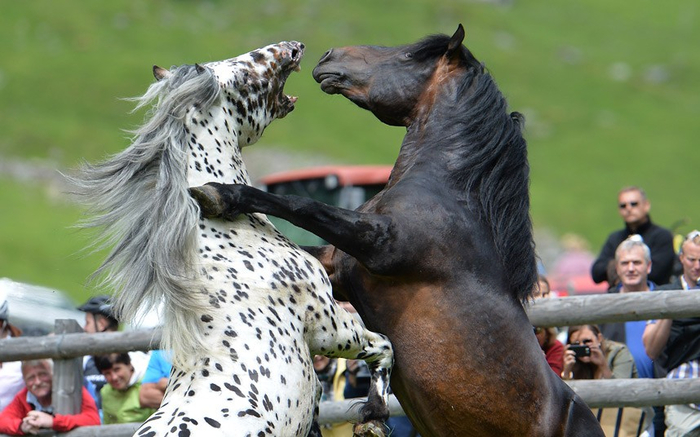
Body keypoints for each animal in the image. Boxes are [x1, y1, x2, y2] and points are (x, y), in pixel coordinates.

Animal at [74, 41, 396, 436]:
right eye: (244, 73)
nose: (293, 48)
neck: (229, 236)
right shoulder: (328, 325)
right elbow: (383, 346)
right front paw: (374, 416)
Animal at [190, 26, 600, 436]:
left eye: (407, 56)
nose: (328, 57)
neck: (445, 196)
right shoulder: (339, 269)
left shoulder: (378, 246)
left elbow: (302, 205)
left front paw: (219, 195)